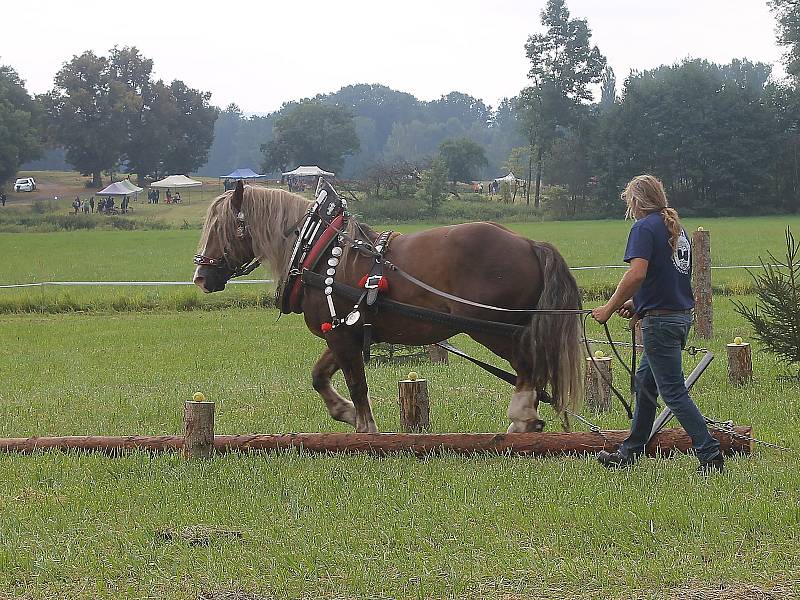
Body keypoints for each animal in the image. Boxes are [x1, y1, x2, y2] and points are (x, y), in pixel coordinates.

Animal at [194, 180, 580, 434]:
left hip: (492, 327)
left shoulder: (342, 336)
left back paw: (521, 419)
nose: (200, 276)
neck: (317, 251)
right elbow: (320, 377)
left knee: (528, 367)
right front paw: (346, 413)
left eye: (220, 227)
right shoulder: (340, 331)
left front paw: (365, 428)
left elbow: (357, 384)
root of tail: (530, 243)